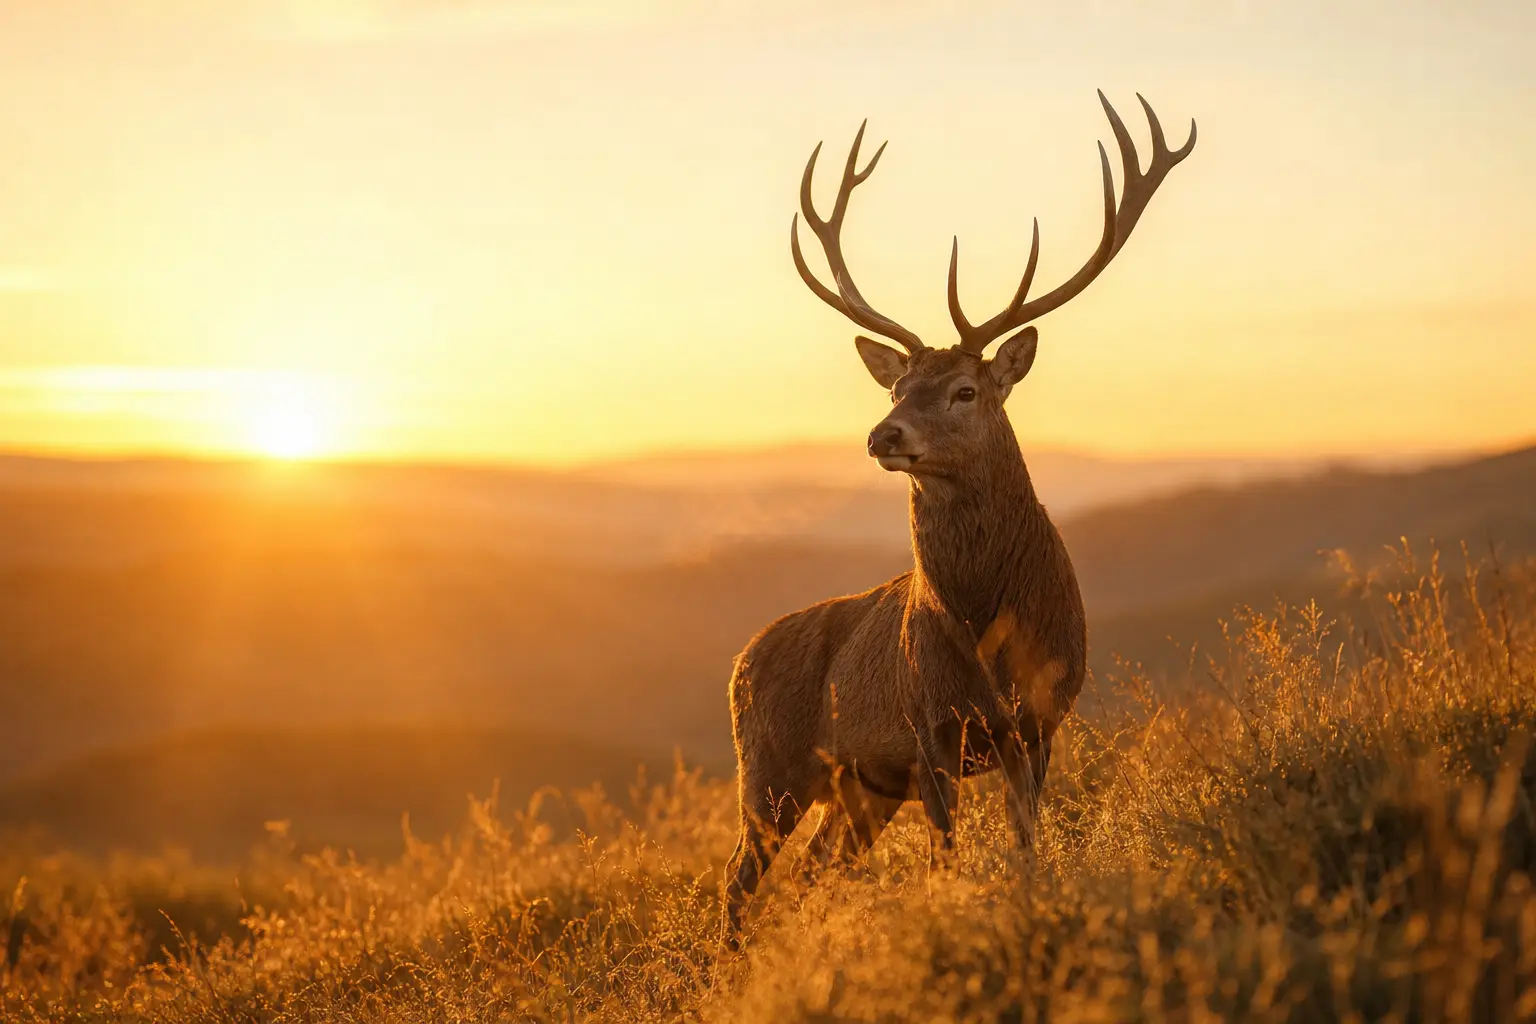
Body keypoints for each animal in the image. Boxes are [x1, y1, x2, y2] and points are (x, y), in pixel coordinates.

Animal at [722, 91, 1196, 941]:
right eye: (895, 387)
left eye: (965, 390)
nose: (884, 435)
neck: (984, 627)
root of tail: (738, 663)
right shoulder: (927, 729)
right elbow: (947, 856)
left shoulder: (1038, 721)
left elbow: (1028, 841)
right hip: (769, 768)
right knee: (737, 881)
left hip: (856, 790)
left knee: (809, 873)